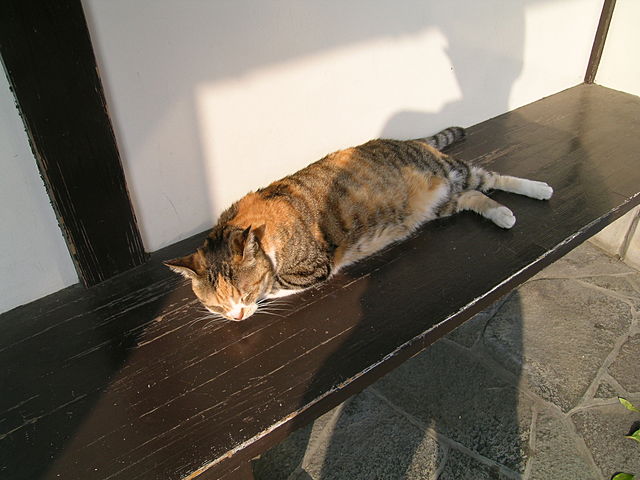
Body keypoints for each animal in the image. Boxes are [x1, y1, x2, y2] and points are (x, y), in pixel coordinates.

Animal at [165, 127, 552, 321]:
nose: (236, 318)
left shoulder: (312, 268)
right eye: (216, 306)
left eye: (244, 294)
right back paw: (502, 214)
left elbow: (276, 285)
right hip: (442, 204)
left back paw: (539, 189)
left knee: (491, 176)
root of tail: (409, 140)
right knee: (474, 196)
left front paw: (265, 295)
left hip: (451, 170)